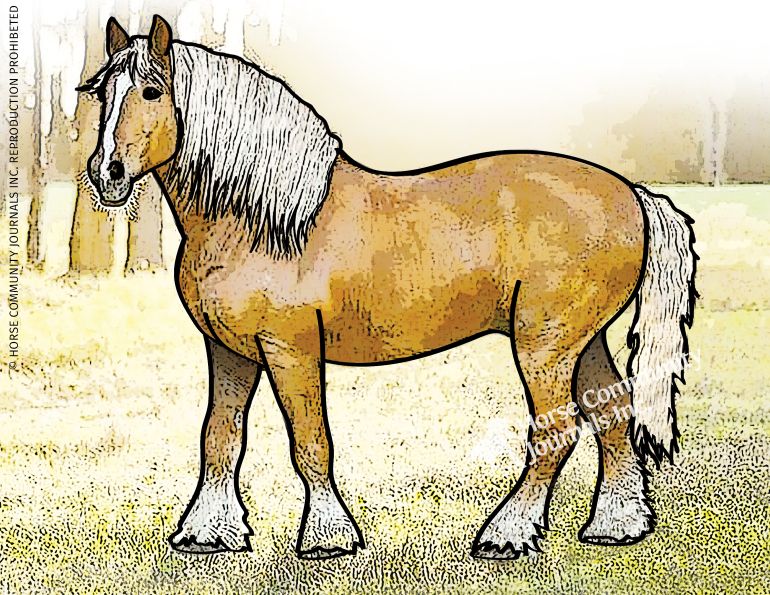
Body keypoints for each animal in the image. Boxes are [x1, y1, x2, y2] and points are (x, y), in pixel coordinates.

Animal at [78, 15, 697, 560]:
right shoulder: (230, 351)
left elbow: (310, 441)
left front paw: (328, 537)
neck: (261, 216)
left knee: (559, 429)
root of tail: (631, 193)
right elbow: (220, 438)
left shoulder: (290, 350)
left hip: (544, 344)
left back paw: (506, 534)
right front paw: (206, 533)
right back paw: (618, 526)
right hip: (581, 339)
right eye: (104, 92)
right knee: (612, 414)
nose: (107, 174)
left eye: (152, 90)